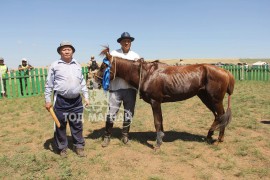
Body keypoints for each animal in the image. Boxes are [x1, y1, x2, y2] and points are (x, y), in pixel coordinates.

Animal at [95, 46, 234, 148]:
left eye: (103, 66)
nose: (94, 82)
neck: (146, 74)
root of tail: (226, 72)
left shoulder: (155, 102)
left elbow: (157, 121)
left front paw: (157, 144)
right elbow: (160, 122)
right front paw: (160, 138)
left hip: (215, 100)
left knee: (221, 116)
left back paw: (219, 139)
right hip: (205, 97)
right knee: (217, 116)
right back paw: (210, 136)